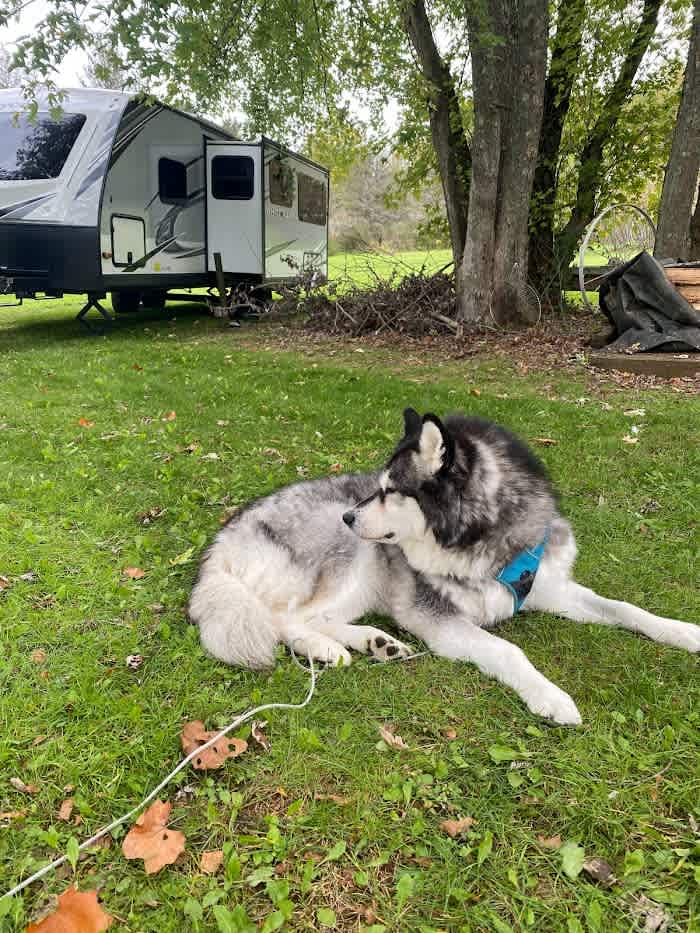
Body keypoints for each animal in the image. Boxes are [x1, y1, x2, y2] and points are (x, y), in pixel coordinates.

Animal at [187, 412, 700, 724]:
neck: (488, 542)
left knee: (320, 617)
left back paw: (375, 643)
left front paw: (684, 632)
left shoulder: (552, 586)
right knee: (285, 619)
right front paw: (549, 696)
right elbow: (509, 652)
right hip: (356, 557)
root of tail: (221, 542)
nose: (350, 516)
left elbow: (626, 608)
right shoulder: (440, 618)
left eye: (391, 491)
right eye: (378, 487)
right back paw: (325, 649)